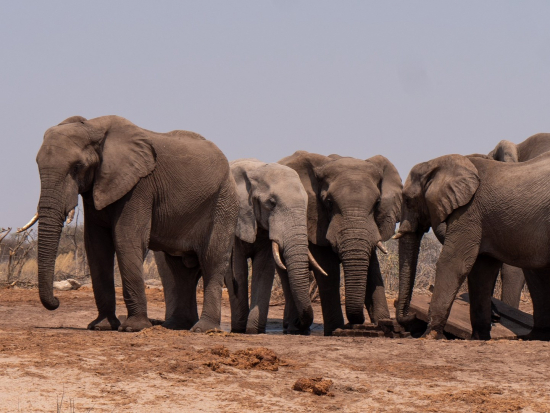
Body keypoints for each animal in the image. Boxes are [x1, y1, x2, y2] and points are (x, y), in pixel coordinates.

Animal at [30, 115, 237, 332]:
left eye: (77, 166)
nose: (57, 301)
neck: (94, 127)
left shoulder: (139, 186)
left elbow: (127, 240)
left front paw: (133, 328)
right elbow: (96, 247)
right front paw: (101, 326)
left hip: (223, 202)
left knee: (212, 260)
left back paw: (203, 329)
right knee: (180, 269)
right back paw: (176, 326)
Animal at [226, 158, 326, 334]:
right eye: (271, 203)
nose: (298, 324)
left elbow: (263, 268)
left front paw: (254, 330)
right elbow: (238, 269)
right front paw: (239, 329)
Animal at [280, 151, 402, 334]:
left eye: (378, 203)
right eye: (329, 202)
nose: (359, 321)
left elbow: (372, 268)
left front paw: (383, 323)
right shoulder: (316, 219)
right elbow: (328, 269)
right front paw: (335, 329)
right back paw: (293, 327)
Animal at [396, 153, 550, 340]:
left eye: (408, 200)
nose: (411, 315)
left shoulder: (468, 213)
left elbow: (453, 263)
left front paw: (430, 335)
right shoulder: (481, 220)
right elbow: (481, 272)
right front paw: (479, 337)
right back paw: (536, 336)